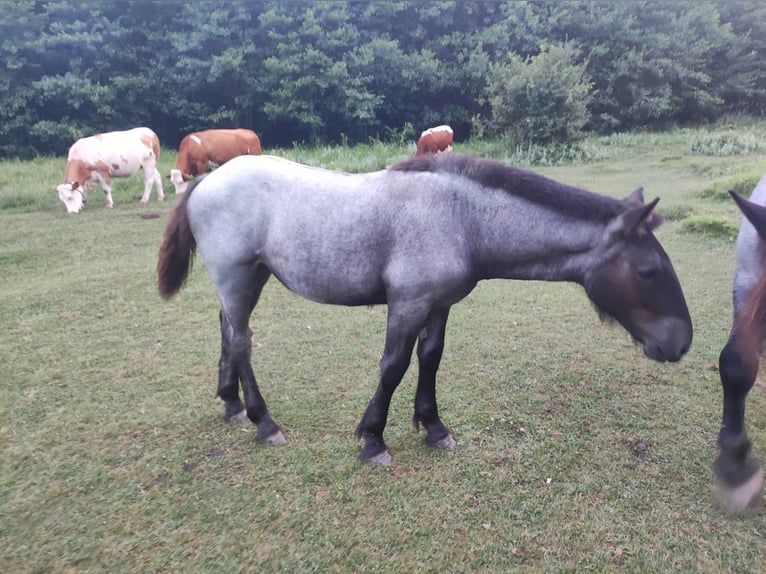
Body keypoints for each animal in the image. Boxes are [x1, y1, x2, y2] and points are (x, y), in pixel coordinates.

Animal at [158, 154, 696, 468]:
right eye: (649, 270)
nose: (681, 342)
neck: (461, 219)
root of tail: (208, 178)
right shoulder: (408, 302)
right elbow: (393, 366)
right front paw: (373, 440)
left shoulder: (438, 305)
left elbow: (430, 358)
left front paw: (434, 428)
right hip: (238, 276)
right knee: (242, 340)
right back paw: (263, 421)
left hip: (248, 279)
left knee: (227, 329)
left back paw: (231, 403)